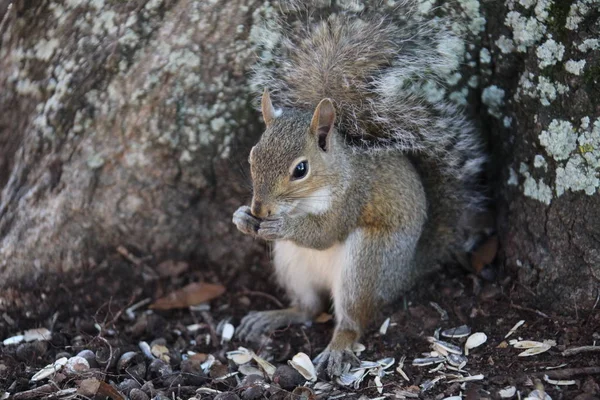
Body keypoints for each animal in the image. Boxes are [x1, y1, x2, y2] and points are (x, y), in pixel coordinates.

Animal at [232, 3, 490, 378]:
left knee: (352, 319)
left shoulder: (352, 198)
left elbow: (324, 233)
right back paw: (274, 316)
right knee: (308, 309)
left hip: (368, 263)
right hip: (292, 264)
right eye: (253, 156)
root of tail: (406, 271)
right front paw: (241, 218)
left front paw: (283, 225)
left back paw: (338, 347)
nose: (260, 211)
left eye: (300, 169)